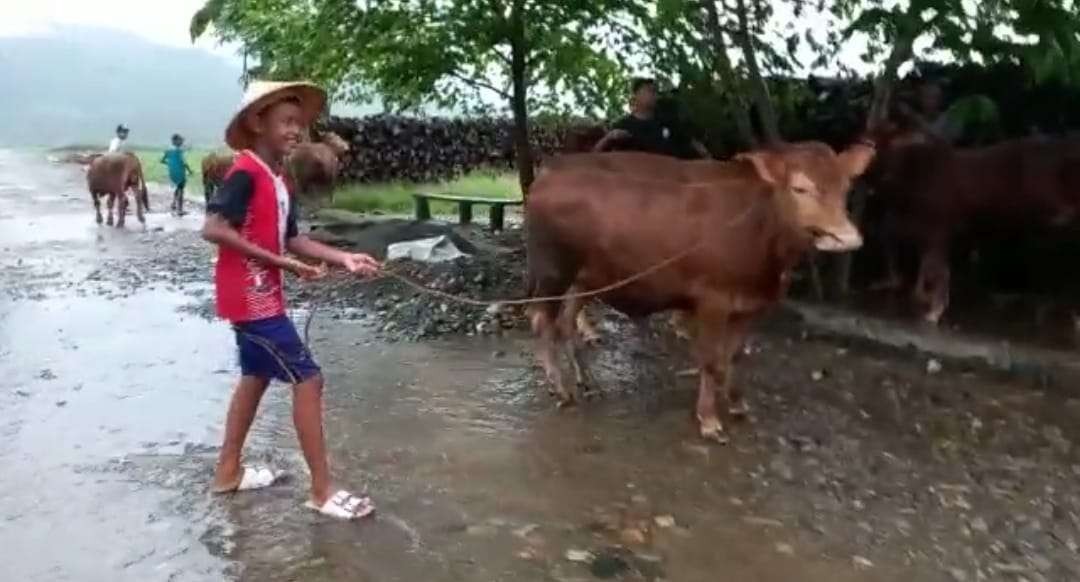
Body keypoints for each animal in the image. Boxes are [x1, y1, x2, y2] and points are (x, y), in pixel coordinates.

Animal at [527, 141, 872, 442]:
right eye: (800, 188)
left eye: (845, 188)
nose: (846, 238)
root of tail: (550, 173)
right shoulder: (712, 301)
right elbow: (710, 360)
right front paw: (709, 419)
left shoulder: (751, 306)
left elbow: (732, 356)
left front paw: (737, 402)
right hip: (552, 273)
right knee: (543, 322)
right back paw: (561, 388)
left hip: (585, 279)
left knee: (566, 323)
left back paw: (587, 379)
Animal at [864, 126, 1080, 323]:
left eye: (873, 144)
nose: (869, 179)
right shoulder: (920, 229)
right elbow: (923, 263)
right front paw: (918, 295)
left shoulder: (936, 229)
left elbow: (937, 269)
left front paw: (934, 311)